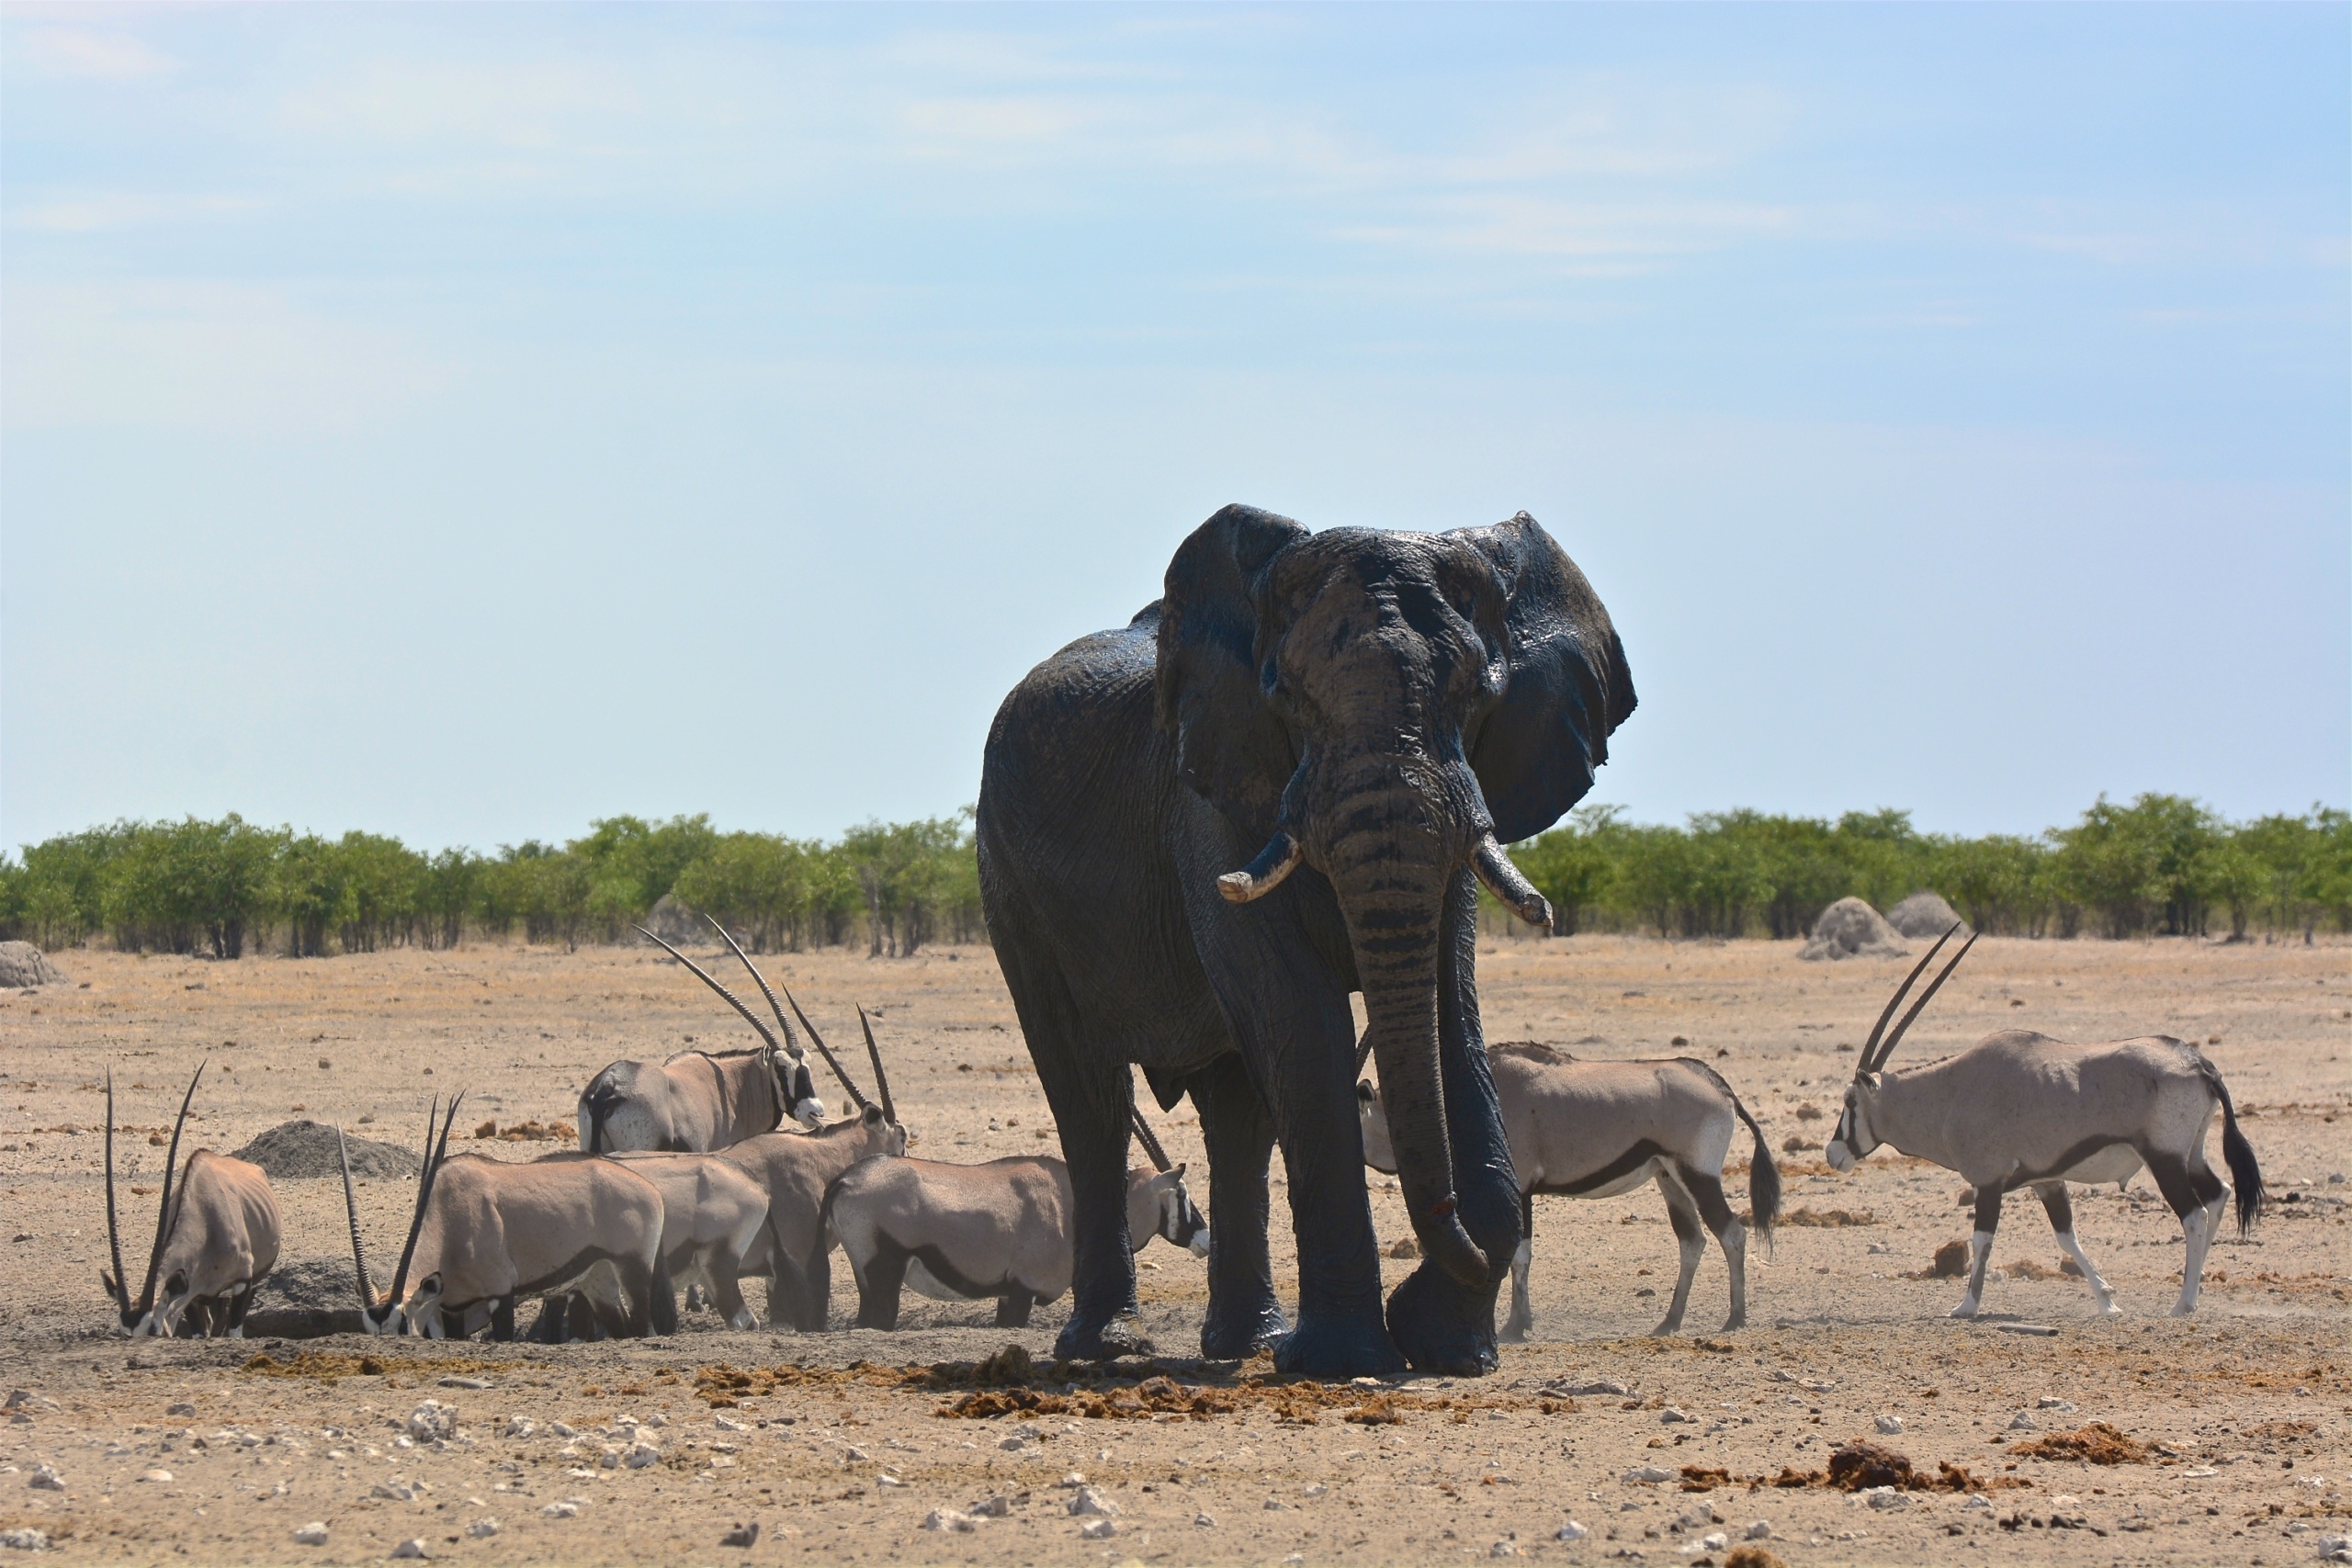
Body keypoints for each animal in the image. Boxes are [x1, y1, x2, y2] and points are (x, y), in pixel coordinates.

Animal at [973, 502, 1636, 1372]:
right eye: (1286, 696)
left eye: (1476, 696)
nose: (1437, 1261)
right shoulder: (1208, 800)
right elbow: (1298, 1008)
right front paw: (1350, 1357)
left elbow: (1449, 1011)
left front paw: (1446, 1345)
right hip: (1010, 886)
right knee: (1090, 1095)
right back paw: (1104, 1347)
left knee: (1238, 1115)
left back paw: (1244, 1342)